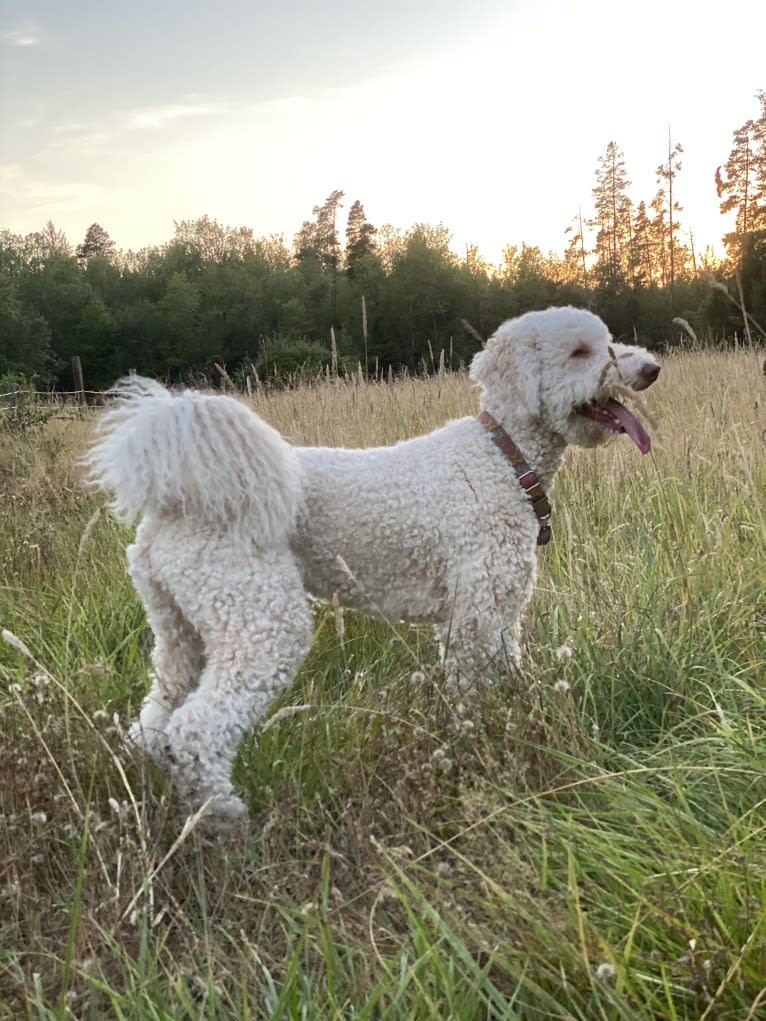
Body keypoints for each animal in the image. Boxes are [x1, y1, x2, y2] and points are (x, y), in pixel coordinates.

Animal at [88, 306, 661, 824]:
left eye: (609, 341)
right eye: (580, 351)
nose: (651, 369)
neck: (502, 457)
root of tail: (171, 504)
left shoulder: (498, 611)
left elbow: (506, 676)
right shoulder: (474, 613)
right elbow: (471, 696)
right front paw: (478, 748)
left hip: (179, 632)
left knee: (154, 720)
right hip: (261, 621)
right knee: (197, 731)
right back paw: (225, 820)